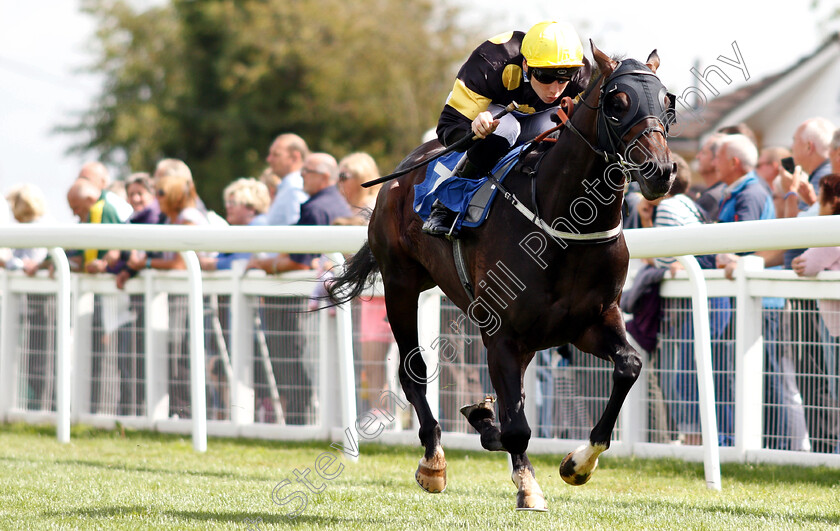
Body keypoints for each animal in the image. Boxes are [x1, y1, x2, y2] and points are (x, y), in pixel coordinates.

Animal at [328, 45, 676, 512]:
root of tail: (403, 170)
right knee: (412, 370)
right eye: (618, 104)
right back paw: (433, 460)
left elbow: (628, 366)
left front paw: (578, 463)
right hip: (400, 284)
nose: (660, 170)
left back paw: (482, 419)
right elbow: (518, 426)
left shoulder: (591, 321)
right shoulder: (503, 334)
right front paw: (528, 486)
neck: (565, 222)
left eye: (668, 102)